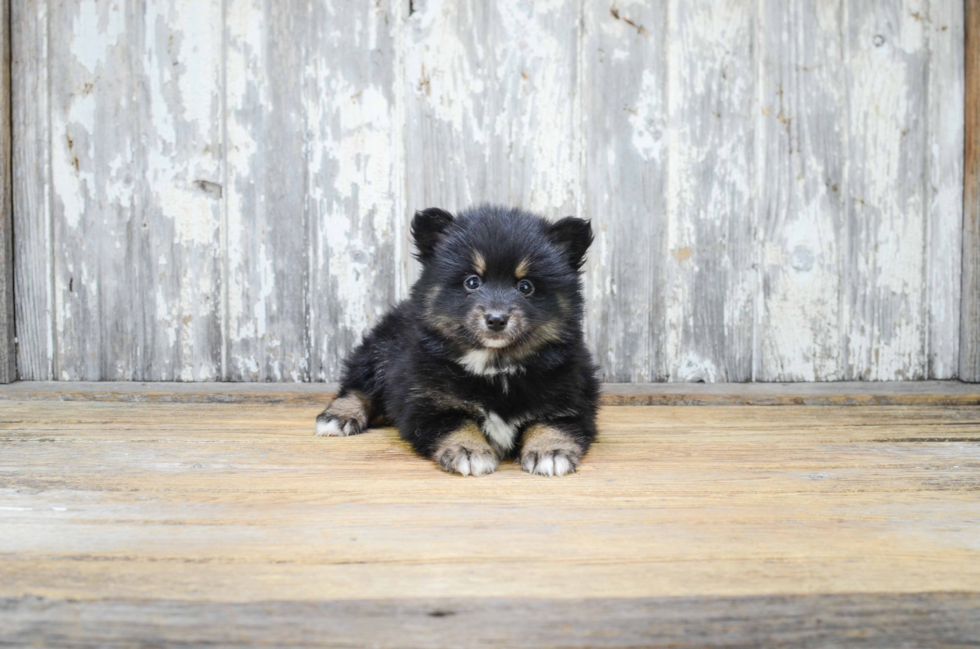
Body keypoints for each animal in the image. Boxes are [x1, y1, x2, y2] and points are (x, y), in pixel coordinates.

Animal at [318, 204, 600, 476]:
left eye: (525, 287)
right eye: (472, 282)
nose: (496, 319)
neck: (496, 368)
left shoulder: (572, 400)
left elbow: (552, 423)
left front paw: (549, 450)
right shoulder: (426, 404)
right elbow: (457, 422)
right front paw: (469, 450)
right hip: (380, 350)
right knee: (358, 386)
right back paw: (339, 416)